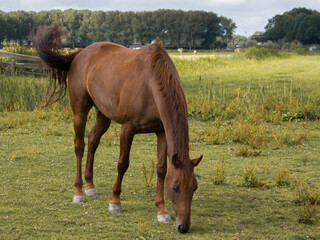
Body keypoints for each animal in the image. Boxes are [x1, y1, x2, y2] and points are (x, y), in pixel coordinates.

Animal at [33, 25, 202, 233]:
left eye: (194, 187)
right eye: (175, 187)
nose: (183, 227)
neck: (150, 82)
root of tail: (80, 53)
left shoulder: (162, 132)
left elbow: (161, 169)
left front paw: (161, 210)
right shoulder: (127, 130)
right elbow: (122, 164)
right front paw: (115, 202)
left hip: (103, 114)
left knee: (93, 141)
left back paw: (90, 186)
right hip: (80, 111)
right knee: (79, 146)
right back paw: (79, 192)